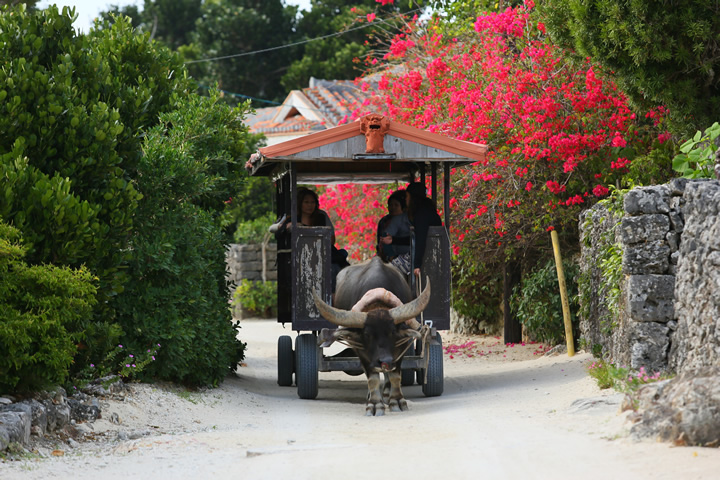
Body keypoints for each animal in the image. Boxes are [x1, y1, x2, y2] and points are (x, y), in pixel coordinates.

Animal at [314, 255, 428, 416]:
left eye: (392, 332)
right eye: (367, 334)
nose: (385, 360)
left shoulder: (400, 348)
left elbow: (395, 375)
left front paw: (397, 401)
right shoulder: (362, 351)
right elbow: (372, 378)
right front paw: (374, 404)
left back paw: (386, 393)